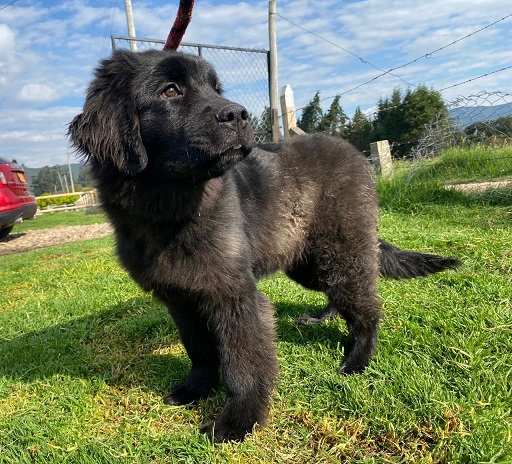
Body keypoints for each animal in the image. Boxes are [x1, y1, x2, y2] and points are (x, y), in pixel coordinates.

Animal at [69, 50, 460, 442]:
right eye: (170, 91)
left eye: (216, 89)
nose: (238, 115)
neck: (170, 212)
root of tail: (354, 152)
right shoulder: (179, 298)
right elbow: (199, 350)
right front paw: (196, 390)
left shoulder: (235, 295)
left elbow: (243, 363)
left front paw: (238, 421)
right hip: (310, 263)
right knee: (341, 293)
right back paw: (323, 318)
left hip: (341, 250)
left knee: (366, 304)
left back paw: (357, 360)